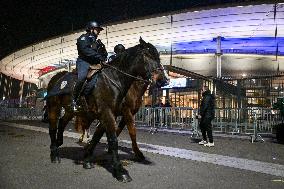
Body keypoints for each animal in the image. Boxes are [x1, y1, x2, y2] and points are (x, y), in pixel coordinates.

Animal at [45, 37, 168, 182]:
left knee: (63, 122)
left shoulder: (112, 114)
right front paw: (121, 170)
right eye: (147, 55)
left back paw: (59, 142)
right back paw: (54, 154)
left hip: (71, 110)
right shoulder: (113, 113)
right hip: (54, 107)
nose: (163, 80)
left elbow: (99, 135)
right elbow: (118, 137)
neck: (114, 80)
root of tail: (56, 77)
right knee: (53, 127)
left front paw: (87, 158)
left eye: (158, 56)